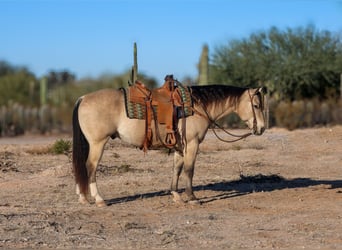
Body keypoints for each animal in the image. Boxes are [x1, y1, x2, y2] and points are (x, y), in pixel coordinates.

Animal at [72, 77, 268, 207]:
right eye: (256, 106)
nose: (262, 128)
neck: (197, 106)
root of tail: (83, 98)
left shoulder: (180, 147)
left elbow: (177, 169)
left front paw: (176, 195)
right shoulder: (192, 143)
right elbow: (189, 170)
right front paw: (192, 197)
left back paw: (82, 197)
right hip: (98, 143)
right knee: (90, 166)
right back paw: (98, 199)